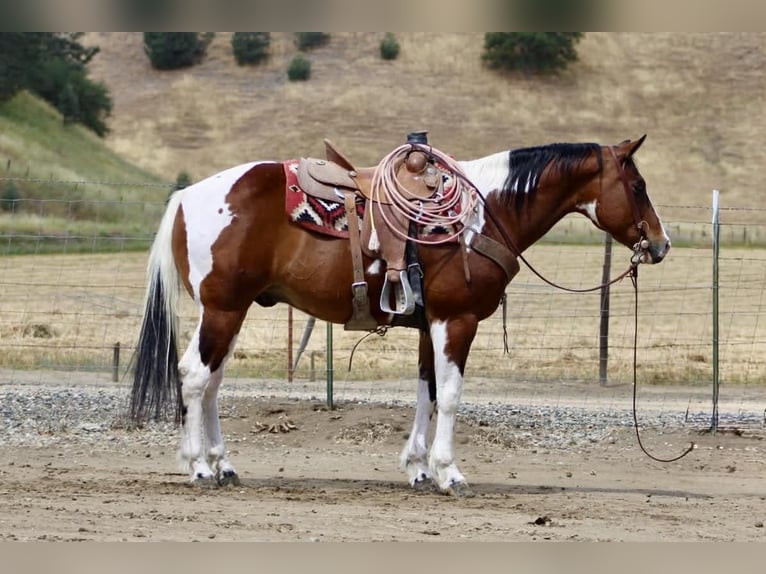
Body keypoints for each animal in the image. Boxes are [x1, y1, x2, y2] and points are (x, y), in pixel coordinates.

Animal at [129, 135, 670, 495]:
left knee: (212, 383)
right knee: (194, 377)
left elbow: (425, 395)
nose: (660, 244)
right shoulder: (457, 320)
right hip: (223, 309)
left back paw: (223, 464)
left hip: (230, 312)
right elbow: (449, 396)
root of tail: (185, 196)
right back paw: (199, 466)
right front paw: (450, 472)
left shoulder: (431, 327)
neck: (482, 216)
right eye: (639, 185)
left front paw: (418, 467)